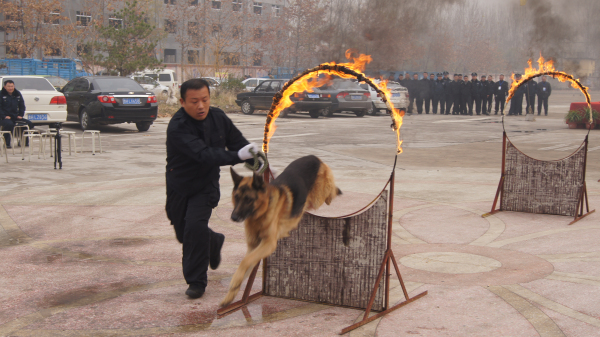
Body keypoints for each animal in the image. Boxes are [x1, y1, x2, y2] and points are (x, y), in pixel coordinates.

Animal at [221, 156, 342, 308]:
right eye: (236, 197)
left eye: (248, 199)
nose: (234, 217)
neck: (262, 212)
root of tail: (314, 157)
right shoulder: (254, 247)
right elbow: (245, 264)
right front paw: (231, 295)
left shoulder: (268, 243)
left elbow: (245, 261)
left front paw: (233, 286)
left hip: (317, 198)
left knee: (330, 191)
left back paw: (334, 193)